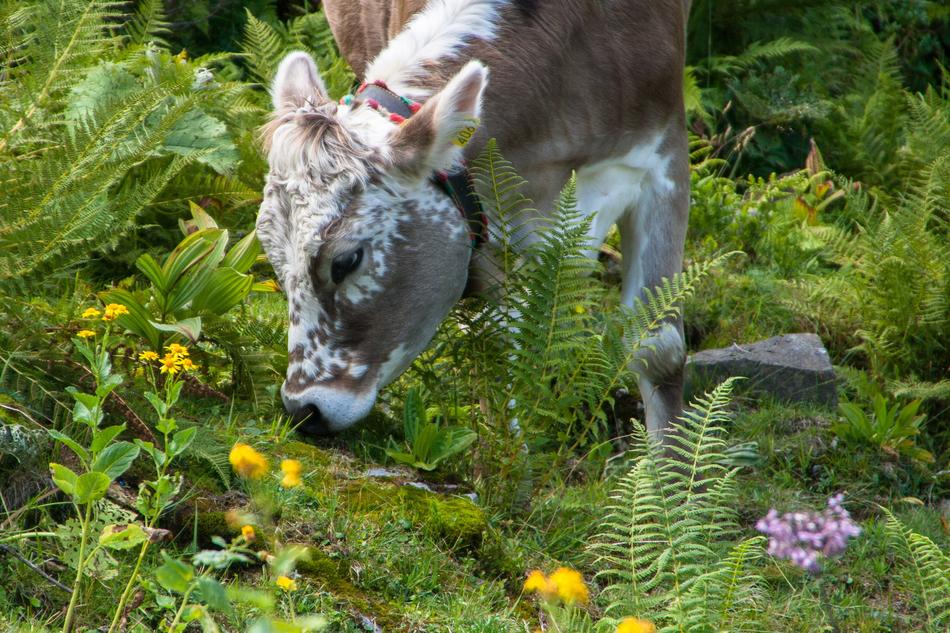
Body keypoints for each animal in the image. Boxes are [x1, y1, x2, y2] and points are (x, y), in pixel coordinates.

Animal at [257, 0, 689, 438]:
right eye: (274, 260)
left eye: (346, 260)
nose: (304, 407)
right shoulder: (483, 226)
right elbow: (498, 352)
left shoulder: (664, 158)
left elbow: (658, 348)